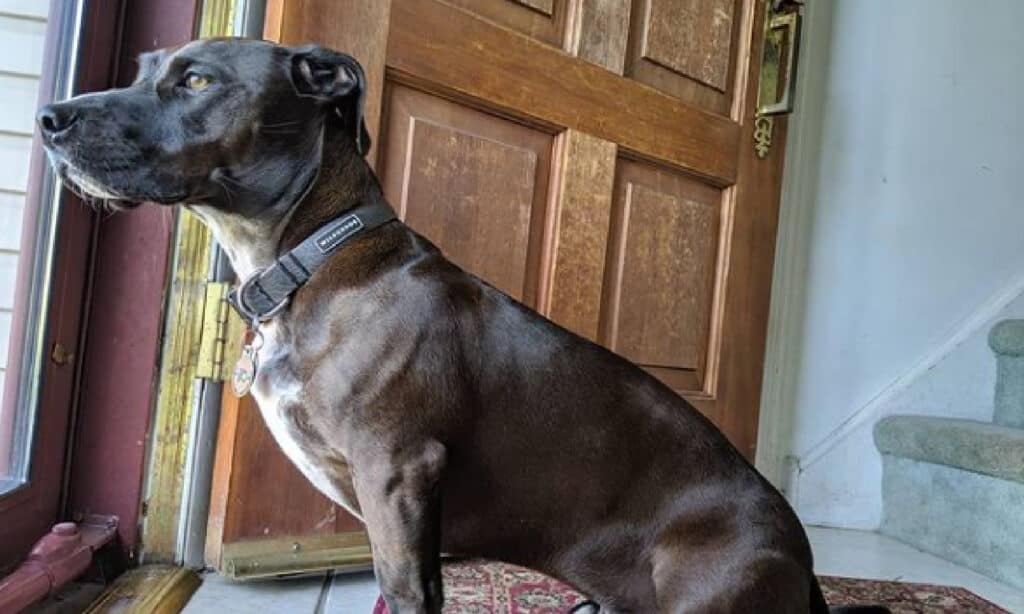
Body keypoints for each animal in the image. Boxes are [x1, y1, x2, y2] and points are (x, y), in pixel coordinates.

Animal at [37, 39, 888, 614]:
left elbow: (408, 592)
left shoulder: (399, 472)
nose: (49, 119)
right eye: (145, 70)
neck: (315, 257)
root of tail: (803, 564)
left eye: (199, 80)